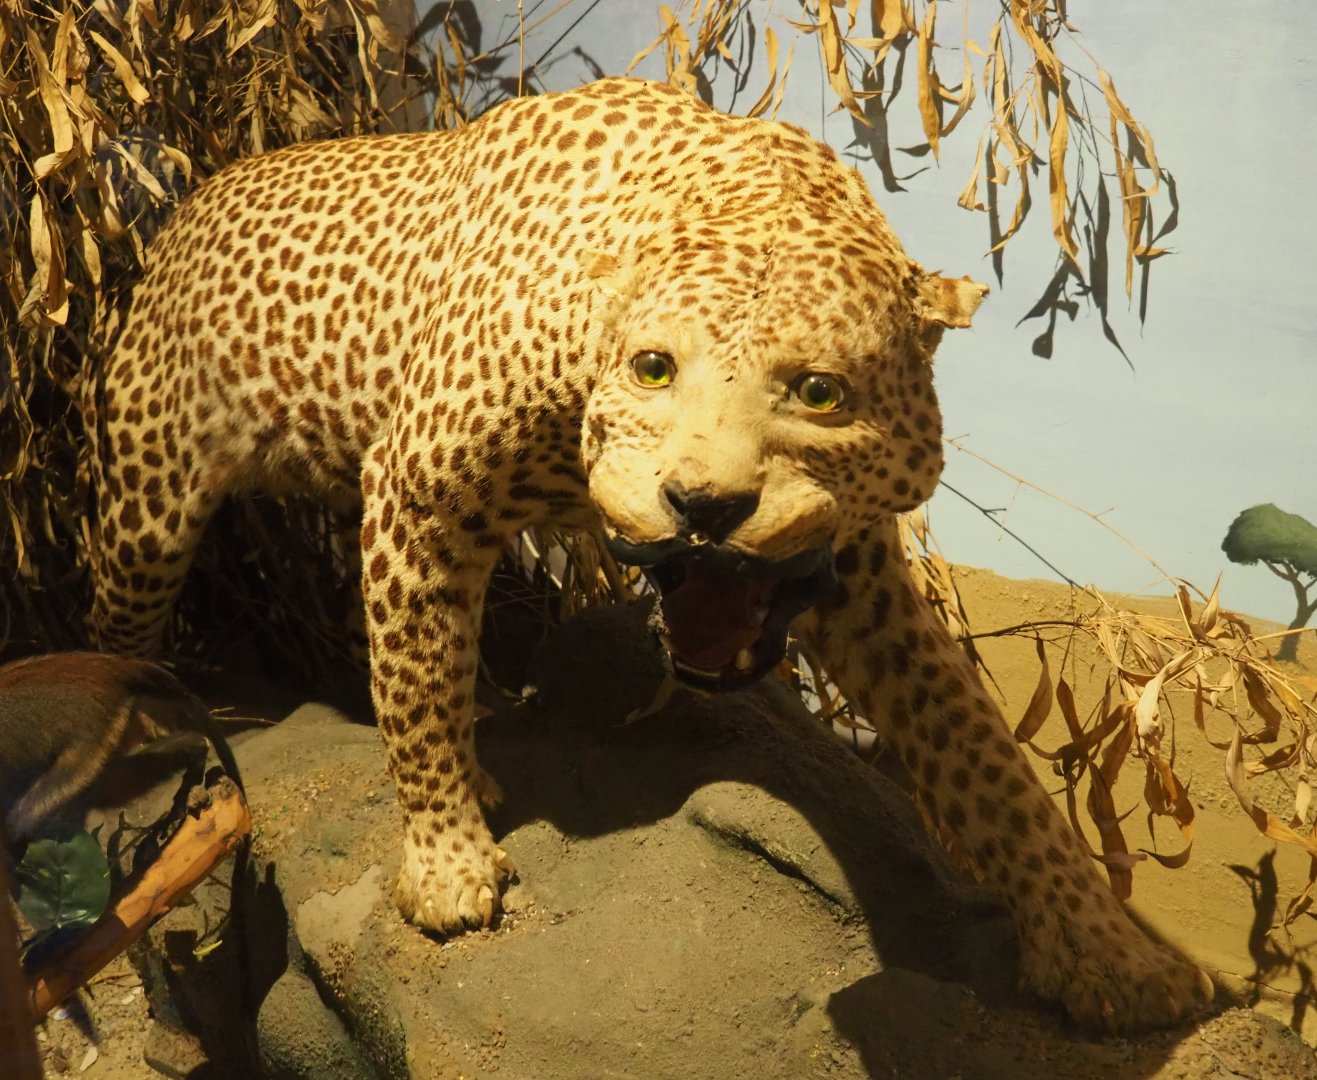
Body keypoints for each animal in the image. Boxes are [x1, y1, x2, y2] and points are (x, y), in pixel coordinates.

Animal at [86, 76, 1213, 1032]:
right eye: (655, 368)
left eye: (819, 391)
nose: (704, 505)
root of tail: (192, 192)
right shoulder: (416, 489)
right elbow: (413, 680)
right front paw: (446, 866)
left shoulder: (855, 571)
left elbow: (981, 756)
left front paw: (1110, 952)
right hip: (148, 501)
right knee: (123, 631)